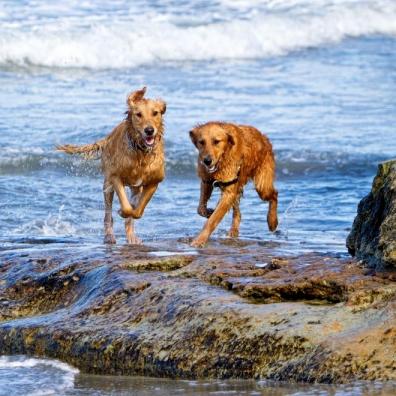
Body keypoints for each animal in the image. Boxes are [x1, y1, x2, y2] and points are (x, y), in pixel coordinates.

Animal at [56, 86, 166, 244]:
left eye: (155, 113)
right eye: (138, 114)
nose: (149, 130)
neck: (140, 152)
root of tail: (108, 137)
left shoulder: (154, 182)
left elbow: (138, 211)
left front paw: (133, 211)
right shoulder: (115, 176)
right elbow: (126, 207)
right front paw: (122, 210)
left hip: (134, 188)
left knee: (132, 210)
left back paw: (131, 236)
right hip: (107, 184)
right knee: (108, 214)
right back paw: (109, 236)